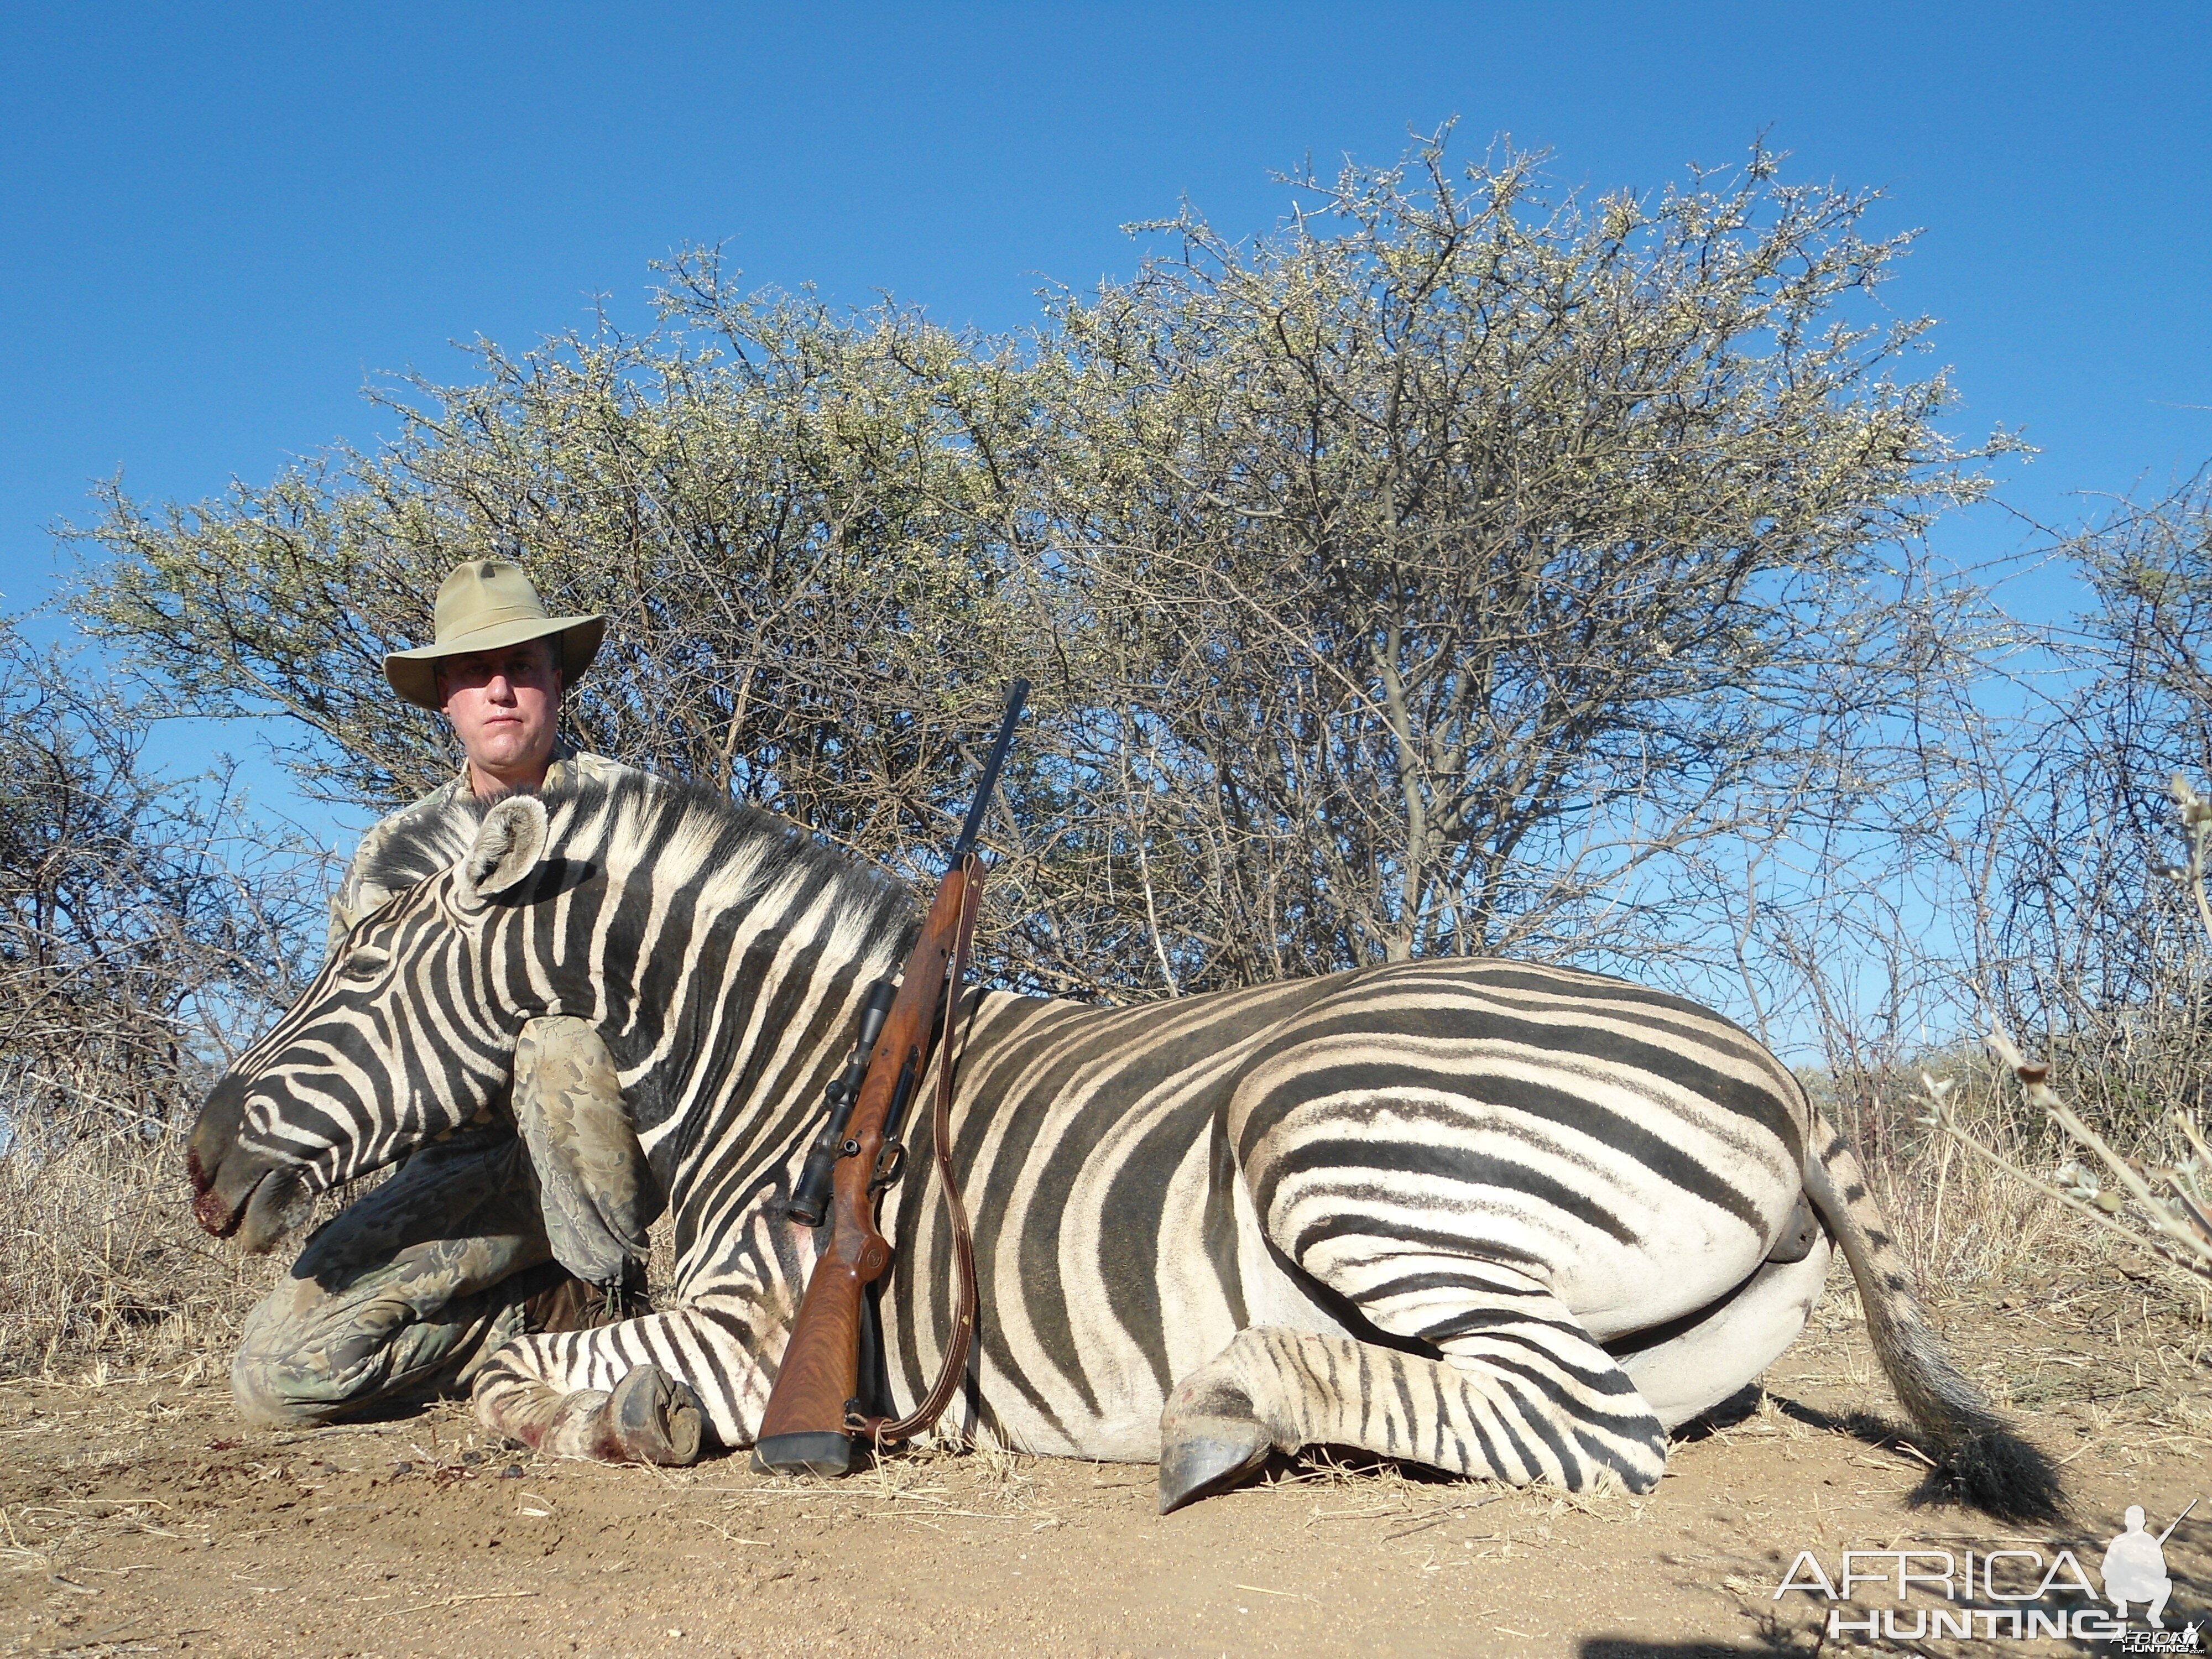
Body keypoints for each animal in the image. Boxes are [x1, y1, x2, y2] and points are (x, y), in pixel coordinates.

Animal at [181, 774, 2062, 1531]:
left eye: (358, 959)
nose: (200, 1152)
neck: (779, 1070)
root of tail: (1778, 1067)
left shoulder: (755, 1326)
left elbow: (516, 1367)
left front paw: (607, 1418)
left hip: (1333, 1133)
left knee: (1581, 1429)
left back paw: (1226, 1405)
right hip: (1659, 1321)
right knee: (1547, 1398)